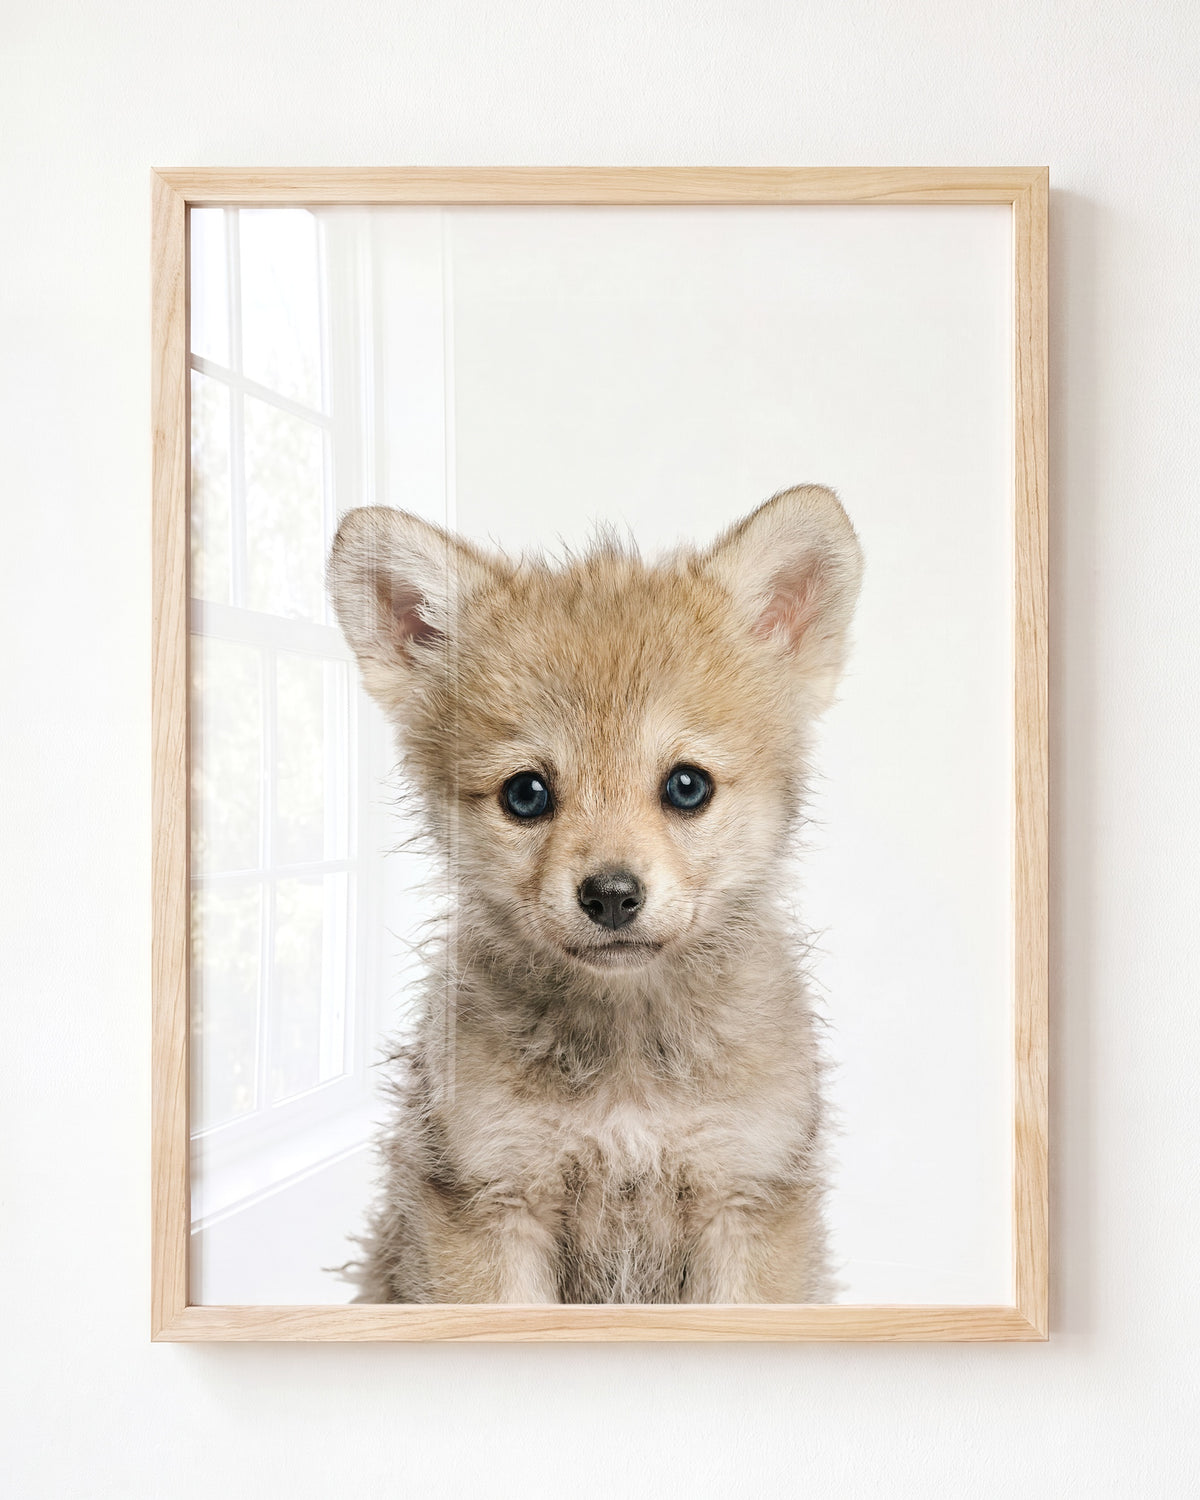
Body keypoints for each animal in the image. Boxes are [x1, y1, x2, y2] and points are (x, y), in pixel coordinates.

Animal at [327, 485, 863, 1303]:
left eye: (687, 786)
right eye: (525, 794)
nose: (611, 896)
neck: (627, 1072)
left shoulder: (745, 1196)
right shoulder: (492, 1200)